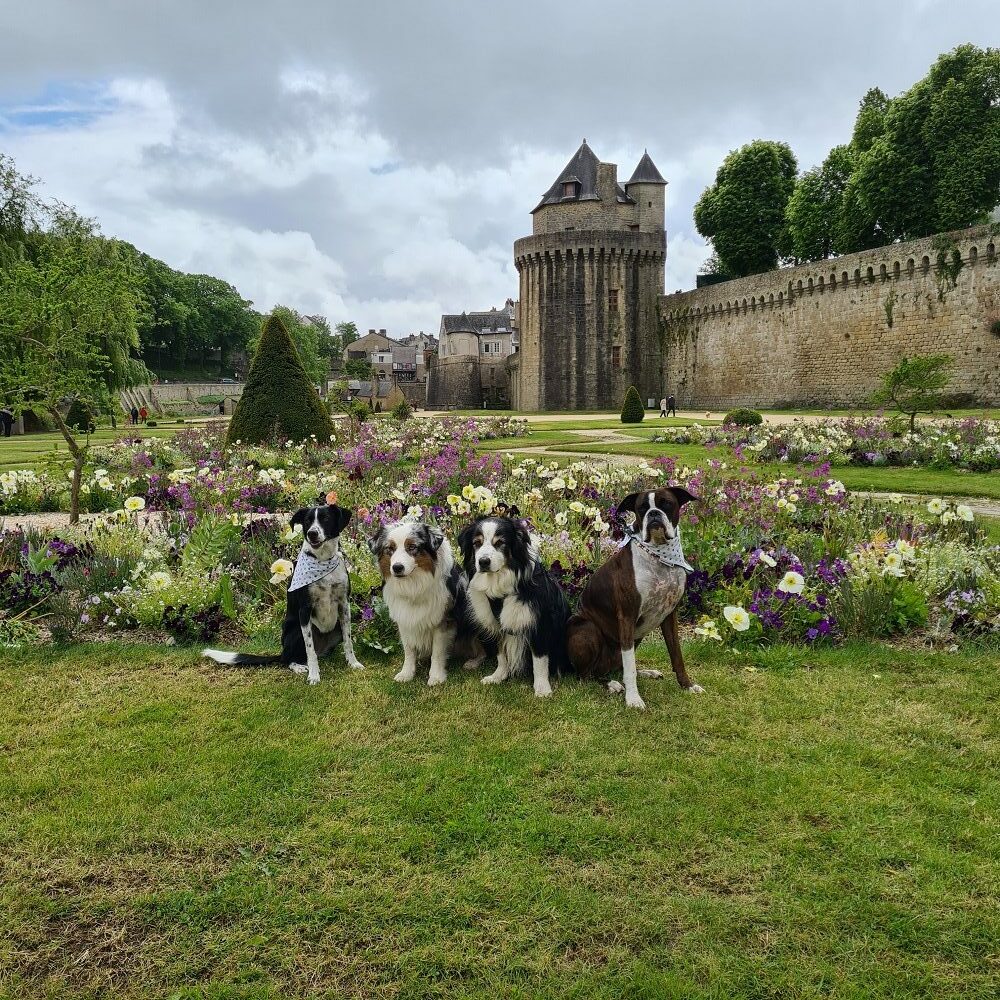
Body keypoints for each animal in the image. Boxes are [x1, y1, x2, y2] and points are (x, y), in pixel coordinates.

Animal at [201, 504, 362, 684]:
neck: (322, 560)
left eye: (326, 519)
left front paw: (353, 663)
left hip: (336, 630)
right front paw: (314, 675)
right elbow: (310, 649)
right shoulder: (304, 610)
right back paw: (299, 666)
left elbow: (348, 641)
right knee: (290, 659)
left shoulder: (344, 605)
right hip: (297, 631)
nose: (311, 533)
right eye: (307, 521)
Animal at [372, 520, 488, 684]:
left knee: (483, 652)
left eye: (412, 547)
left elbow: (437, 653)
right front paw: (406, 673)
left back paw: (472, 663)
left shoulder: (442, 621)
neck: (413, 585)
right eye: (390, 549)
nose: (397, 568)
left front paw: (436, 676)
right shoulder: (404, 619)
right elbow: (409, 650)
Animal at [458, 516, 572, 696]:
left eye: (500, 542)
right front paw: (498, 676)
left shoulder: (540, 624)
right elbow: (500, 653)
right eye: (477, 543)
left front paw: (542, 688)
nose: (483, 562)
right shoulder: (495, 624)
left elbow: (539, 659)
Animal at [568, 486, 700, 712]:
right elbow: (629, 667)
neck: (659, 557)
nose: (653, 514)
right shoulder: (627, 617)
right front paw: (633, 699)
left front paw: (688, 686)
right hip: (587, 628)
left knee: (617, 666)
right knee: (586, 675)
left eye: (666, 504)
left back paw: (645, 672)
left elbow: (677, 656)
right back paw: (611, 684)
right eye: (641, 508)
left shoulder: (669, 616)